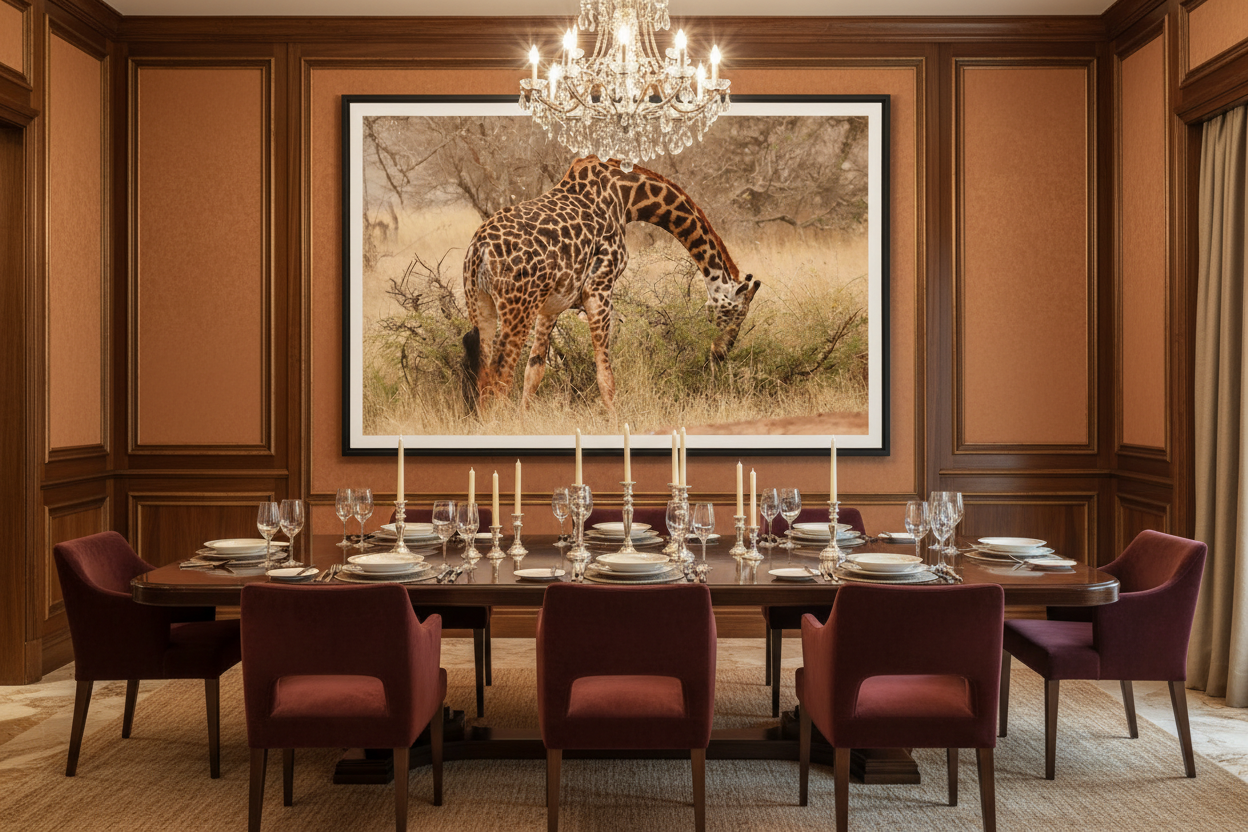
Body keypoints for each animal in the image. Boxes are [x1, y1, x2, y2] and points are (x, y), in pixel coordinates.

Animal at [461, 156, 761, 412]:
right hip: (518, 307)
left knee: (485, 372)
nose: (720, 354)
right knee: (500, 374)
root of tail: (480, 249)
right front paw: (615, 421)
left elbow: (534, 371)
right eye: (735, 315)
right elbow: (605, 373)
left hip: (481, 304)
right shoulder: (599, 287)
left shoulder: (553, 304)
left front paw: (524, 419)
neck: (628, 198)